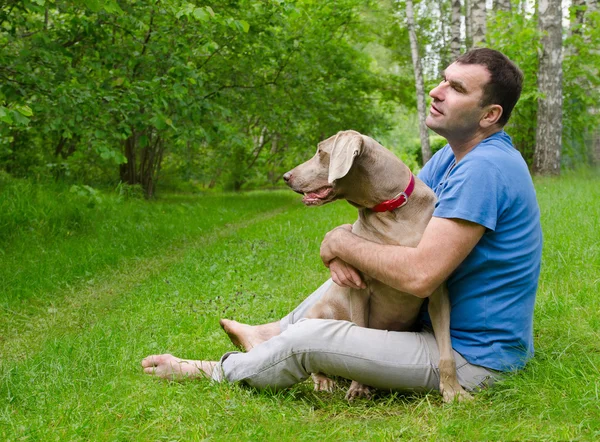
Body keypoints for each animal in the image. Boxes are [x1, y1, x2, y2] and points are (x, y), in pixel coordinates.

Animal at [284, 129, 472, 402]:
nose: (286, 177)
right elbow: (357, 337)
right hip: (318, 313)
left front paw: (453, 391)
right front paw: (359, 387)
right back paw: (324, 381)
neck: (391, 210)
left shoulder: (437, 290)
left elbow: (446, 351)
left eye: (320, 152)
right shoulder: (358, 290)